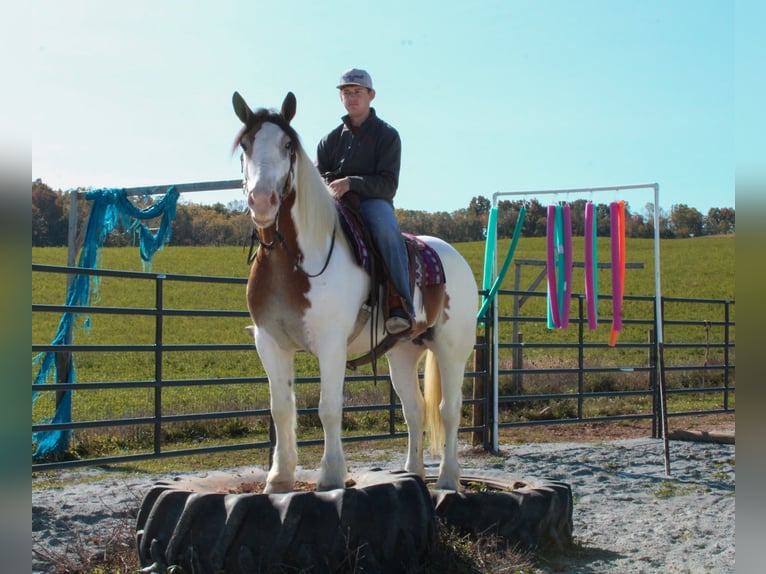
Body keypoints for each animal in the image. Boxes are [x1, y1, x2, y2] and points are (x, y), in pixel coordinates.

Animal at [232, 92, 480, 492]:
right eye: (245, 145)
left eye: (287, 145)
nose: (263, 200)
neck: (296, 260)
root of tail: (454, 257)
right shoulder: (269, 343)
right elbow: (281, 409)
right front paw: (279, 478)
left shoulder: (331, 343)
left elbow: (329, 408)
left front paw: (331, 475)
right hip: (403, 354)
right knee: (414, 410)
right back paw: (413, 473)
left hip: (452, 349)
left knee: (449, 411)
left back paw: (447, 479)